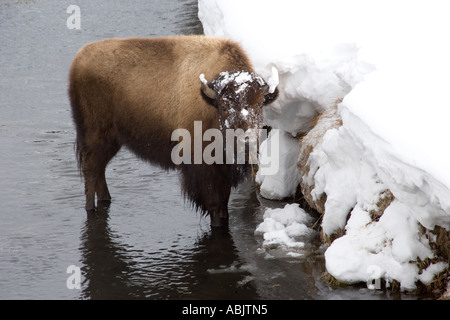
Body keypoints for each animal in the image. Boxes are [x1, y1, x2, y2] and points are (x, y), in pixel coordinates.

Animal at [67, 35, 278, 228]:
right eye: (224, 107)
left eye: (259, 105)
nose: (245, 141)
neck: (210, 103)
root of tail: (78, 59)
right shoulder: (204, 169)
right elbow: (214, 203)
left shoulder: (223, 172)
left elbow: (223, 202)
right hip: (95, 136)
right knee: (91, 170)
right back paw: (90, 208)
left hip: (112, 141)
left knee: (99, 170)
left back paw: (106, 200)